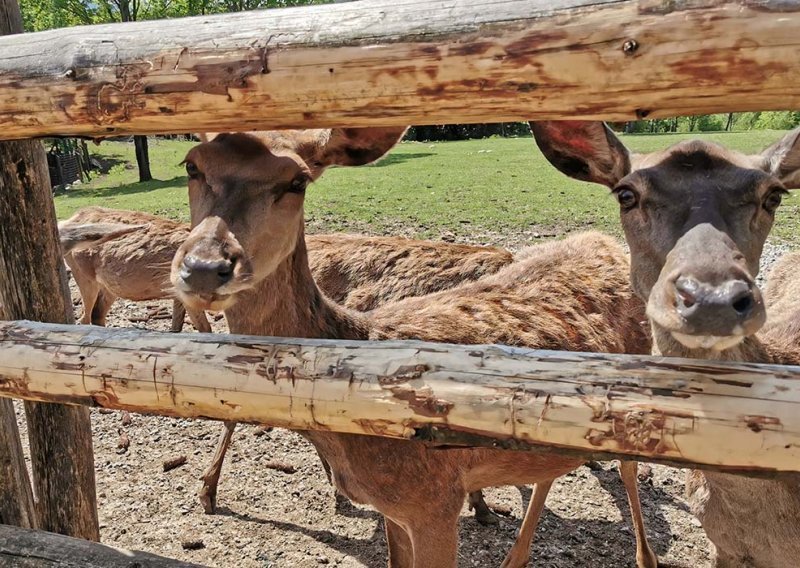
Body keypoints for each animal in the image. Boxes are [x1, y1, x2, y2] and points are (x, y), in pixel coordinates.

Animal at [169, 127, 656, 568]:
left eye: (297, 181)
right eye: (192, 165)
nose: (205, 266)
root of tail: (605, 243)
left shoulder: (434, 500)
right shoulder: (396, 509)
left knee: (629, 469)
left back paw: (644, 556)